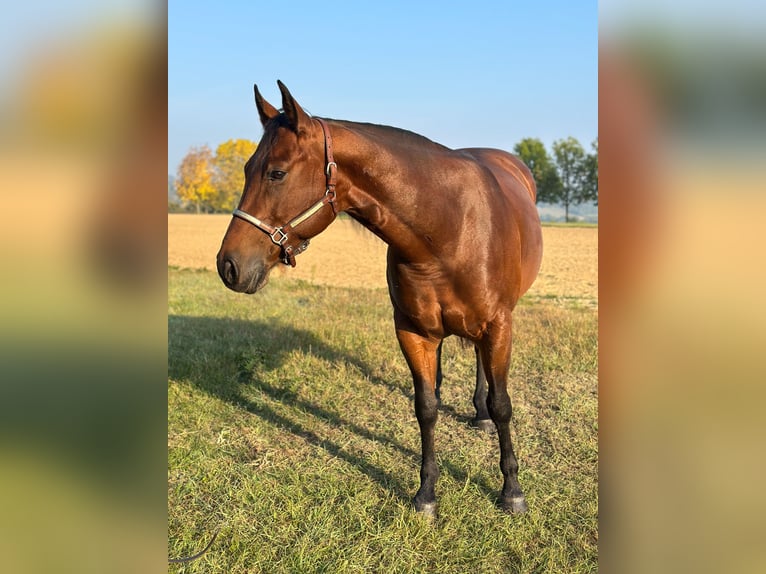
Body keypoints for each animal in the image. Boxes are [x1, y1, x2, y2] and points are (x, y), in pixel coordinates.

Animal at [217, 81, 543, 518]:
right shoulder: (412, 331)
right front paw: (426, 494)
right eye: (247, 169)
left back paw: (481, 414)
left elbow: (503, 403)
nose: (228, 265)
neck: (450, 228)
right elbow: (426, 407)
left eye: (276, 172)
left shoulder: (499, 326)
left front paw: (511, 490)